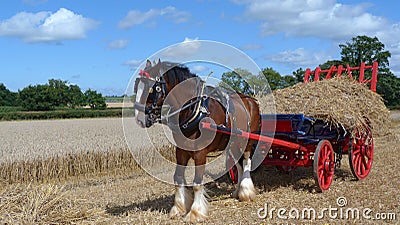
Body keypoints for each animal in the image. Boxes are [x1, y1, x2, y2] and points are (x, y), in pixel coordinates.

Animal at [134, 59, 260, 223]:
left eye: (152, 89)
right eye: (137, 86)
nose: (139, 119)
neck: (194, 109)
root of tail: (251, 100)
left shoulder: (200, 153)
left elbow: (197, 183)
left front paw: (195, 213)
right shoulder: (181, 150)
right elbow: (178, 178)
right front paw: (178, 208)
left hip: (247, 140)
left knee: (246, 163)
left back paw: (246, 192)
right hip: (232, 144)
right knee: (238, 165)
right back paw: (237, 191)